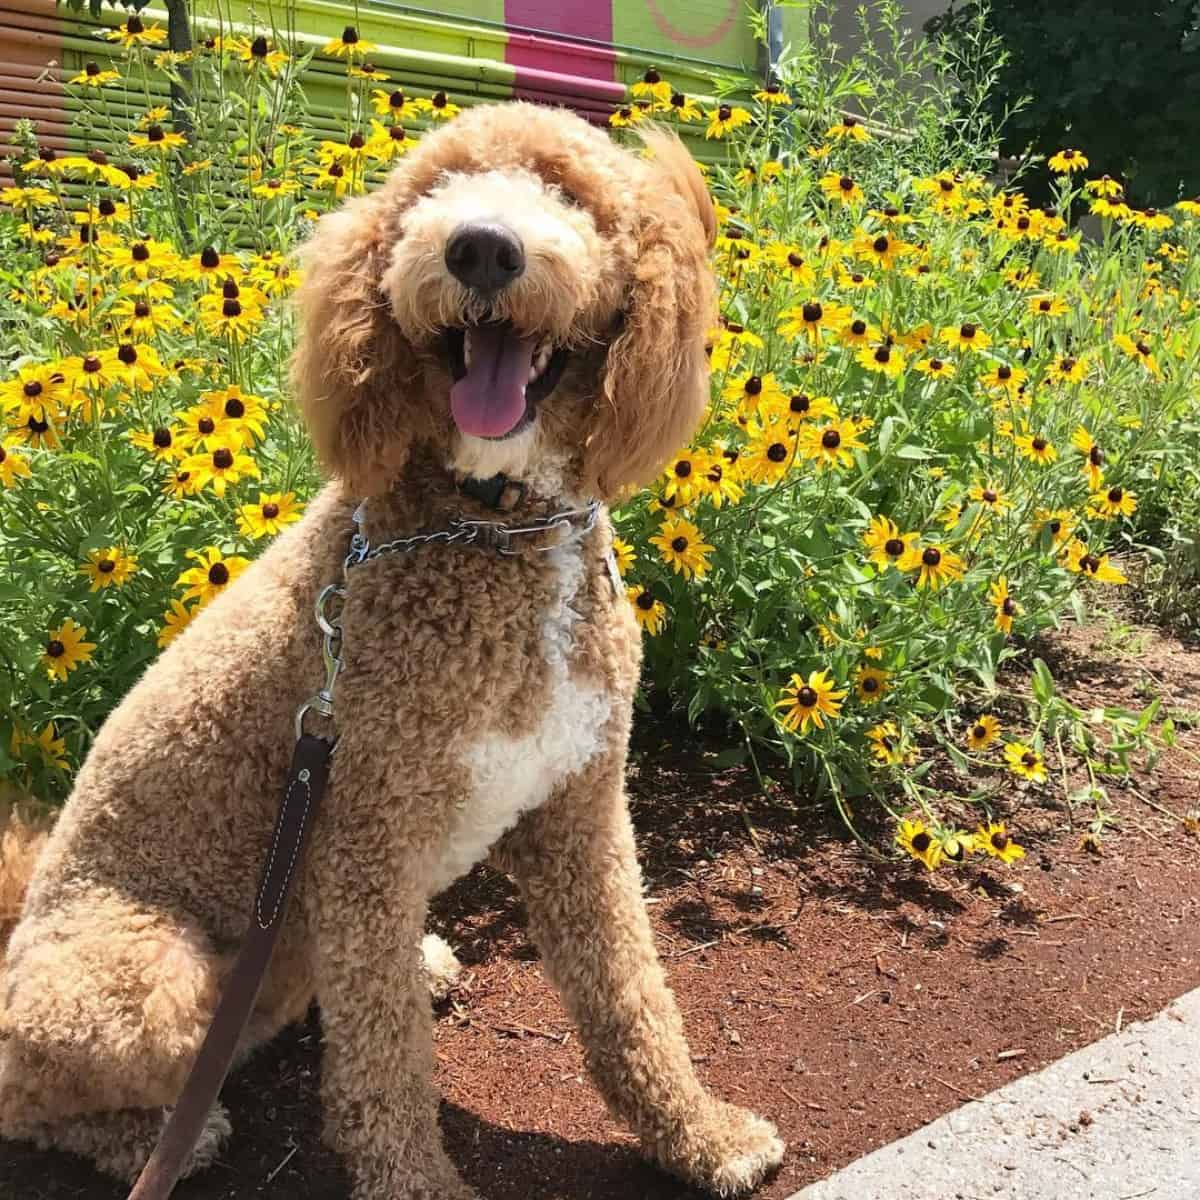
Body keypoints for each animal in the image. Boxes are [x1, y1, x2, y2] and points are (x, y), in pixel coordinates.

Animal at [0, 105, 782, 1200]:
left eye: (567, 192)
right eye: (429, 192)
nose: (481, 247)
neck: (495, 526)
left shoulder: (581, 812)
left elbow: (633, 999)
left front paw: (702, 1135)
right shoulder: (363, 842)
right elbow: (384, 1069)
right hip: (145, 978)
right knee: (29, 1093)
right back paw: (163, 1137)